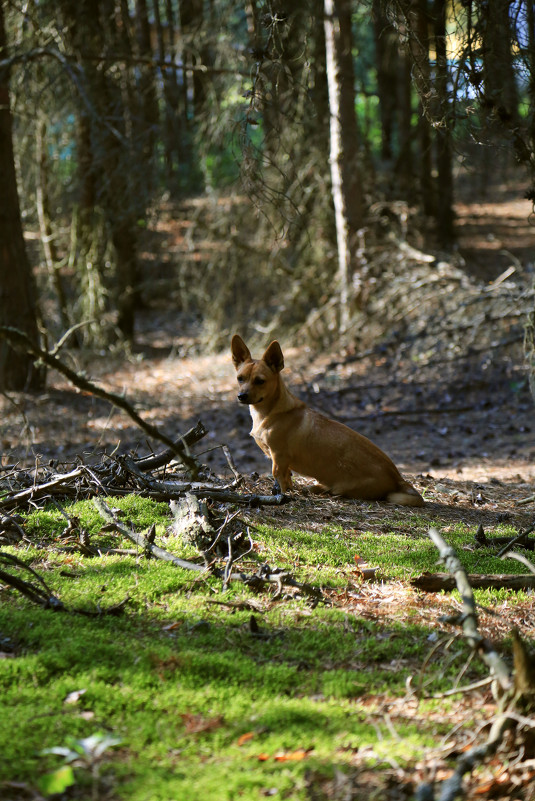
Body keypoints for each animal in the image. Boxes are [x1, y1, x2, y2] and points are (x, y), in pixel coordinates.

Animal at [232, 334, 426, 504]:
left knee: (334, 490)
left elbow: (279, 479)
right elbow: (287, 480)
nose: (241, 396)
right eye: (240, 378)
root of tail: (398, 478)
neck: (269, 412)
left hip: (344, 487)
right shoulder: (283, 463)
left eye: (260, 381)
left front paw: (281, 495)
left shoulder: (278, 457)